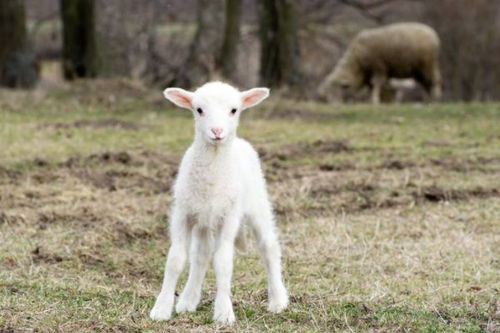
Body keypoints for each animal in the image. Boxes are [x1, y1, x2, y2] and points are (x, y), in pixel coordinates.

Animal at [148, 81, 290, 324]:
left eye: (234, 110)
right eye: (199, 110)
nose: (217, 132)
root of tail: (241, 143)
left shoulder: (229, 217)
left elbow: (223, 262)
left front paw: (224, 312)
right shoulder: (183, 213)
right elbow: (175, 260)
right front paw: (162, 308)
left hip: (257, 204)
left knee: (268, 247)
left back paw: (278, 301)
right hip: (203, 220)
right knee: (201, 255)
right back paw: (188, 301)